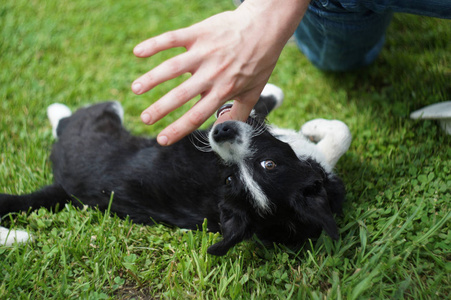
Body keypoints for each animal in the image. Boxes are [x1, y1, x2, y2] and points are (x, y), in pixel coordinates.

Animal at [0, 84, 354, 255]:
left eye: (268, 164)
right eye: (230, 177)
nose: (220, 132)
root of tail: (64, 187)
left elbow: (340, 133)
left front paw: (311, 127)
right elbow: (338, 134)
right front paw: (310, 125)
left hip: (100, 117)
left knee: (66, 121)